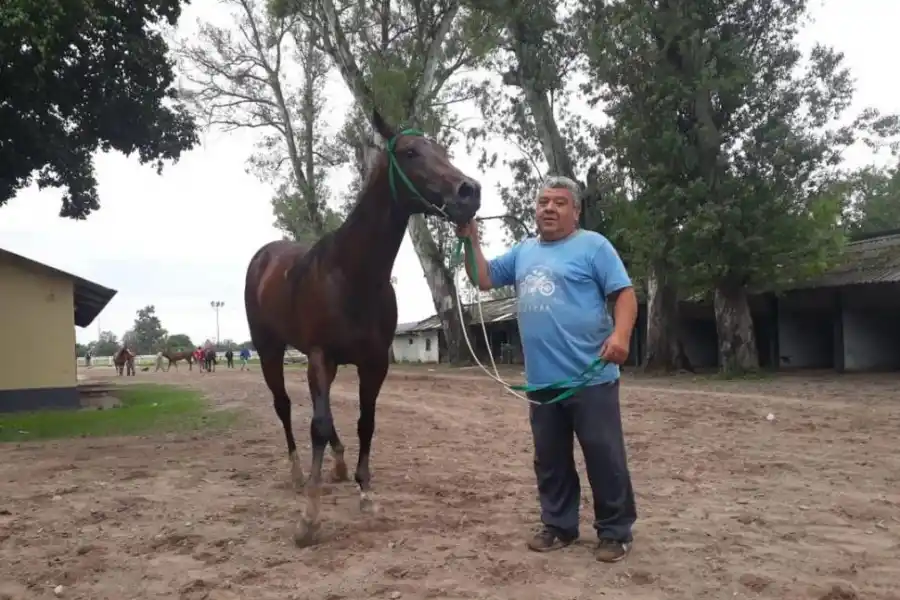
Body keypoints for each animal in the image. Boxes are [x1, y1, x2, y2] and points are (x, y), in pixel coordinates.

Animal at [244, 109, 480, 547]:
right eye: (410, 152)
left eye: (442, 149)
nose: (469, 192)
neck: (352, 274)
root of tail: (264, 256)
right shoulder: (320, 356)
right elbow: (317, 424)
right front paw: (309, 517)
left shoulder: (373, 363)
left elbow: (364, 422)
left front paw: (366, 494)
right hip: (269, 350)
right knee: (284, 407)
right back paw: (298, 474)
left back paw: (336, 464)